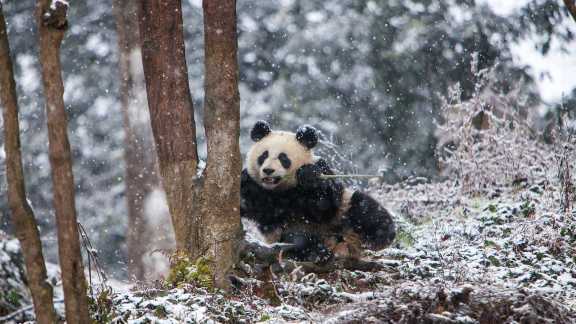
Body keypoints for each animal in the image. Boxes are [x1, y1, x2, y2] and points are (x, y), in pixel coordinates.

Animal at [240, 120, 396, 264]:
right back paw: (318, 252)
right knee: (296, 241)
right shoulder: (255, 188)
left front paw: (308, 175)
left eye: (283, 158)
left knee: (365, 209)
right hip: (284, 234)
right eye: (263, 156)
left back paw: (378, 237)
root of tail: (341, 245)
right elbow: (247, 200)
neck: (282, 190)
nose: (268, 170)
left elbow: (326, 202)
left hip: (344, 211)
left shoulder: (322, 169)